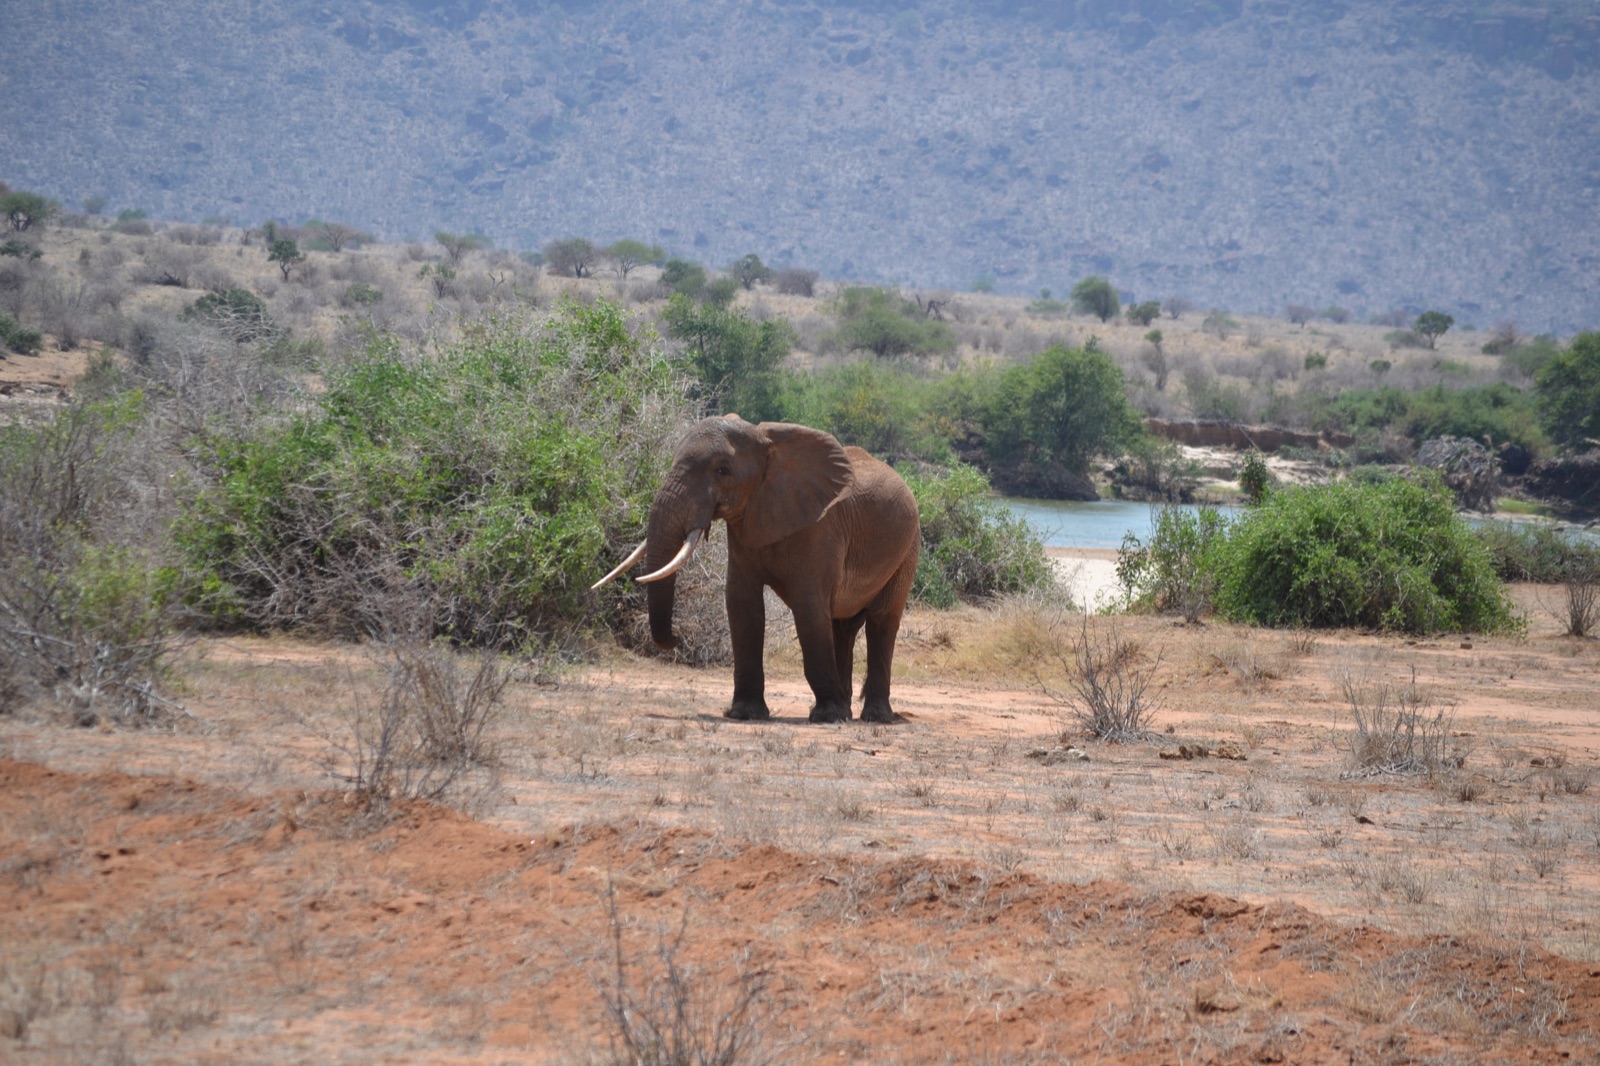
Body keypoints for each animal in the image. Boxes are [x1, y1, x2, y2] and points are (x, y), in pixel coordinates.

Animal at [593, 415, 920, 724]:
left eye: (723, 471)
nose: (675, 639)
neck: (764, 441)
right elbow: (743, 606)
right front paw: (745, 713)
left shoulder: (820, 529)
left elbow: (809, 610)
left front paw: (828, 717)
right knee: (843, 627)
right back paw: (848, 712)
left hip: (908, 549)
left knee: (881, 621)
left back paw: (873, 717)